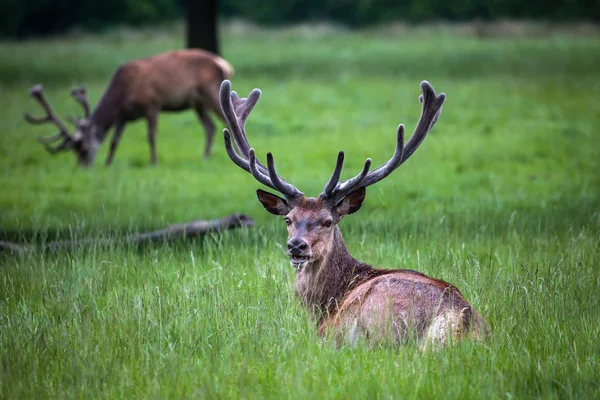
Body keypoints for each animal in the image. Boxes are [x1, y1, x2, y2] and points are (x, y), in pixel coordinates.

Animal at [23, 48, 234, 167]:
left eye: (83, 147)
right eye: (75, 151)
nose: (82, 166)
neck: (122, 95)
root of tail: (224, 64)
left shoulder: (151, 104)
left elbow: (151, 136)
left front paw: (154, 162)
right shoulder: (123, 116)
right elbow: (114, 141)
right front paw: (108, 163)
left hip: (210, 92)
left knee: (223, 122)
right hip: (197, 103)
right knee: (210, 126)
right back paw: (205, 156)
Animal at [218, 79, 490, 348]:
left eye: (328, 221)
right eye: (288, 219)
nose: (296, 246)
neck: (326, 303)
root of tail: (459, 320)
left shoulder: (325, 332)